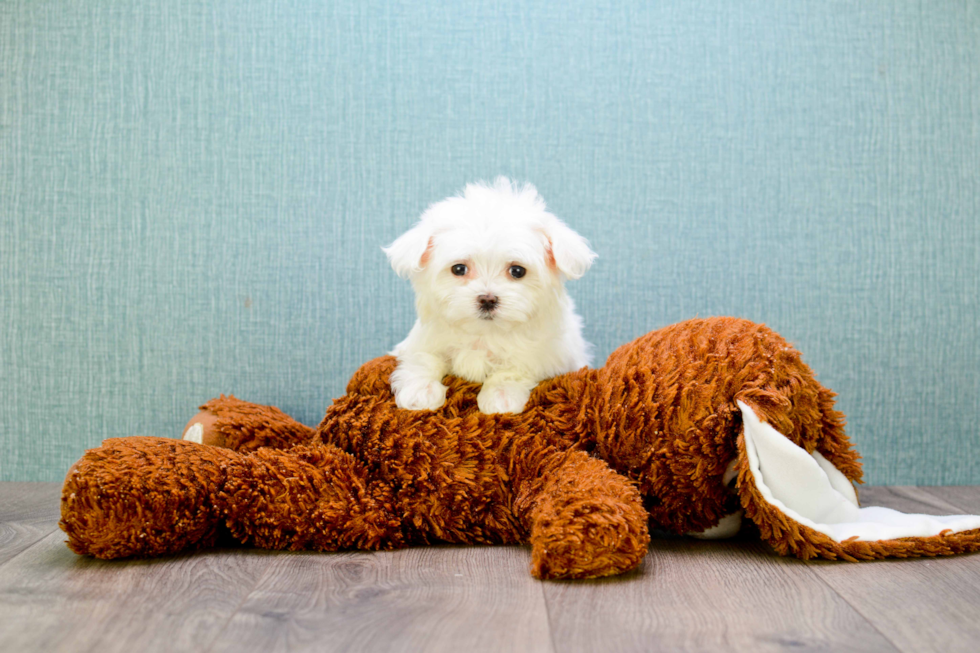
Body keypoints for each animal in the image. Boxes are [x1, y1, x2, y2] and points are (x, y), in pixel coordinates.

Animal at [382, 177, 596, 412]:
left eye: (517, 271)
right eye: (459, 269)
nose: (487, 299)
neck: (483, 334)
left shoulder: (546, 356)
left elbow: (514, 368)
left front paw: (501, 396)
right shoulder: (424, 340)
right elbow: (423, 357)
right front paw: (420, 391)